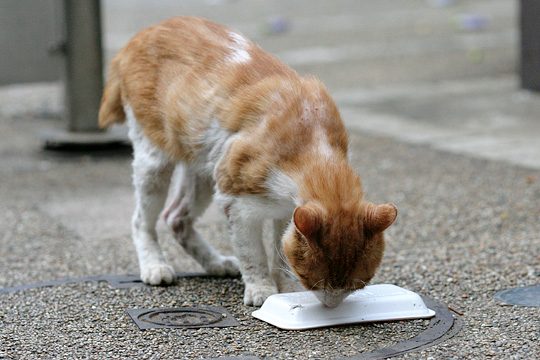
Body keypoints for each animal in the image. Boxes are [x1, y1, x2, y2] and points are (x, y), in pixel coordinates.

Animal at [100, 16, 396, 308]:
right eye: (313, 281)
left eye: (357, 285)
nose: (332, 305)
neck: (313, 143)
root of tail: (142, 34)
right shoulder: (236, 200)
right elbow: (252, 253)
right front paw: (262, 289)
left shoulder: (284, 209)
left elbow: (280, 248)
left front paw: (286, 288)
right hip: (154, 160)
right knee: (142, 220)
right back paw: (155, 266)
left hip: (203, 168)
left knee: (176, 217)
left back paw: (216, 263)